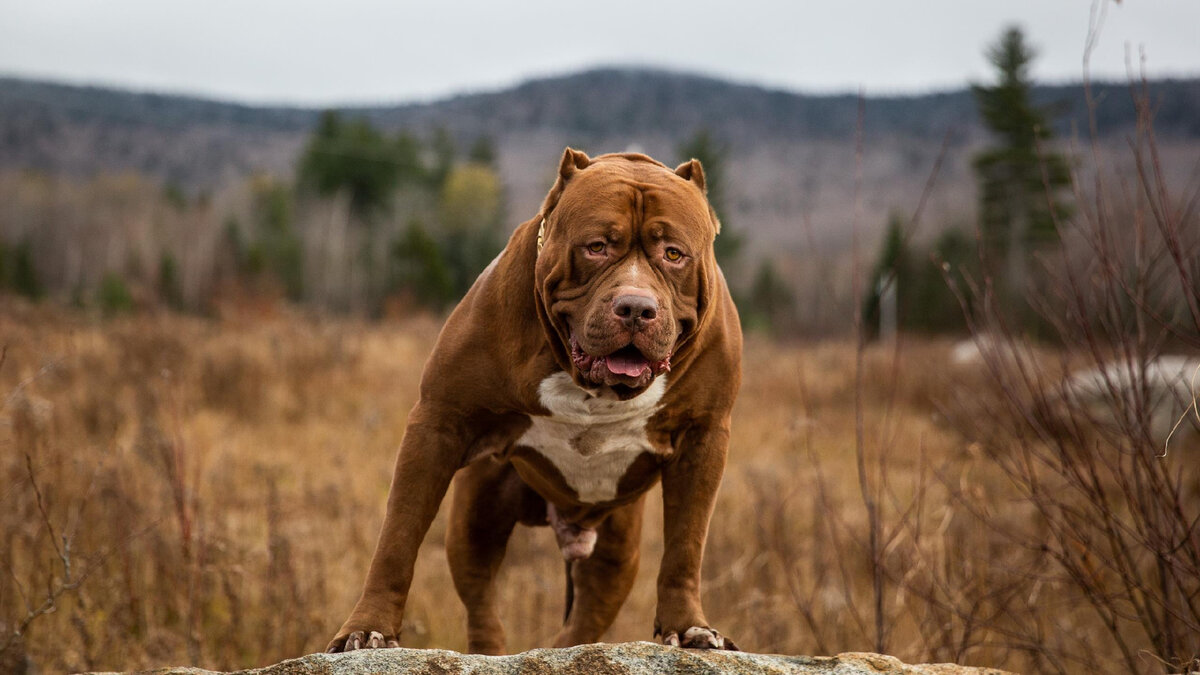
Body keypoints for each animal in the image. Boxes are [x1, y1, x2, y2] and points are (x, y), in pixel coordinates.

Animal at [326, 145, 739, 653]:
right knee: (482, 598)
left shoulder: (703, 439)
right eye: (596, 246)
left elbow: (686, 545)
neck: (594, 386)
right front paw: (368, 627)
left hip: (617, 544)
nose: (636, 307)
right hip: (479, 510)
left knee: (587, 614)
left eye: (674, 254)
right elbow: (398, 536)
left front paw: (689, 626)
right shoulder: (438, 424)